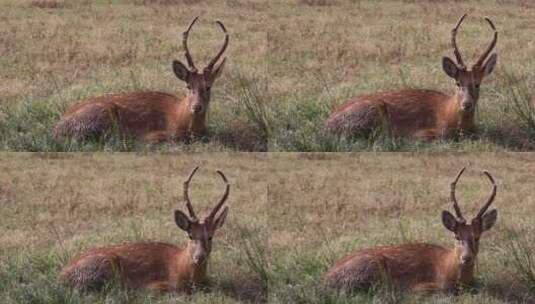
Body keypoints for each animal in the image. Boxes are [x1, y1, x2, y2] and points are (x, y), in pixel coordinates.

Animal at [53, 17, 229, 143]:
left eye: (208, 87)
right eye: (188, 85)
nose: (196, 107)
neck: (180, 117)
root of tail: (56, 127)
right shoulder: (158, 133)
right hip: (102, 114)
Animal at [59, 166, 230, 292]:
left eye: (210, 236)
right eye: (190, 235)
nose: (199, 257)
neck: (182, 267)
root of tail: (61, 275)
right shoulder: (157, 285)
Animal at [324, 14, 500, 140]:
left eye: (477, 84)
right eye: (457, 83)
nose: (467, 104)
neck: (447, 113)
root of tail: (326, 124)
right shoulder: (425, 132)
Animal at [324, 167, 500, 294]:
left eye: (477, 237)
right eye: (456, 236)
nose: (466, 258)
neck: (447, 267)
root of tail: (325, 279)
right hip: (372, 267)